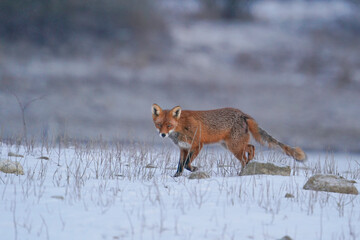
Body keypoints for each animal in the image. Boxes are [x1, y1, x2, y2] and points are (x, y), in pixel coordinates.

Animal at [152, 104, 306, 177]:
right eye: (159, 125)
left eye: (169, 125)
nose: (163, 135)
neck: (181, 126)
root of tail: (243, 113)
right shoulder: (183, 148)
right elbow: (180, 165)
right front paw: (175, 177)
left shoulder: (197, 145)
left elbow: (186, 164)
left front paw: (194, 169)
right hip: (231, 145)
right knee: (251, 147)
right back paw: (250, 162)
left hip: (234, 147)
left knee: (245, 156)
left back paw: (243, 172)